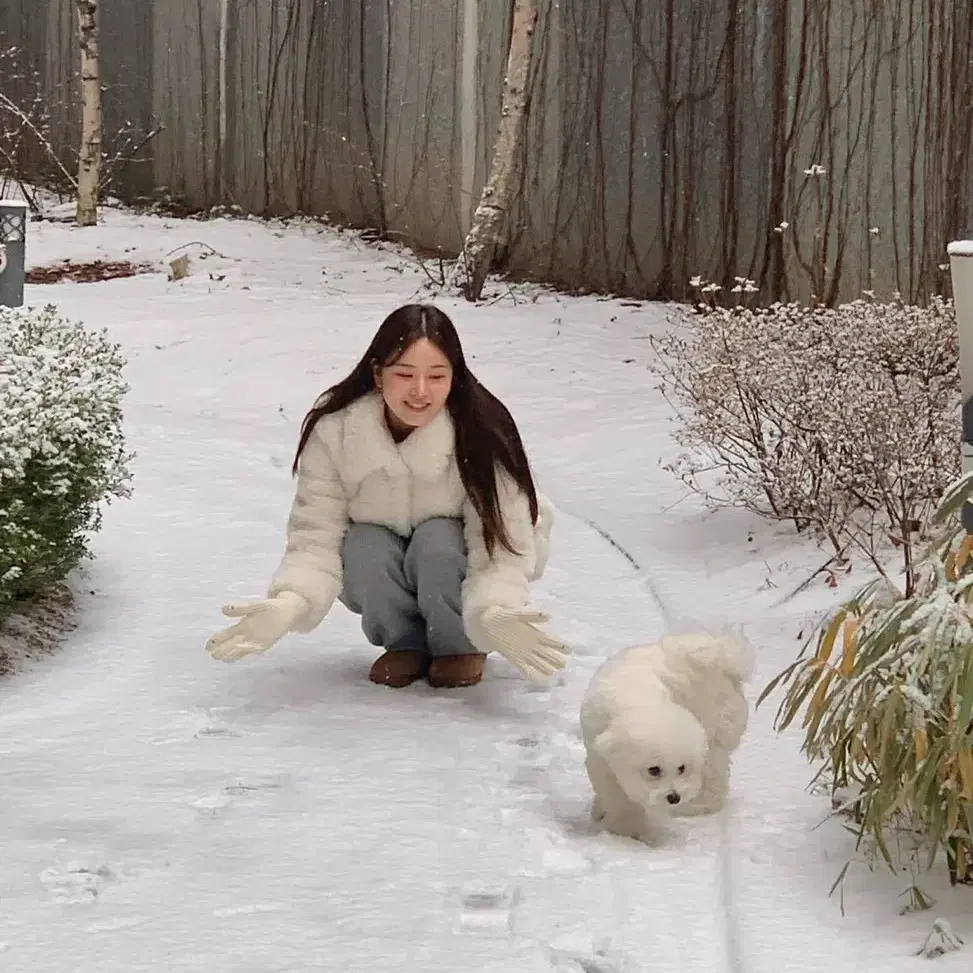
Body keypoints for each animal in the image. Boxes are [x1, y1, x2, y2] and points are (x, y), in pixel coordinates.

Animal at [576, 632, 752, 844]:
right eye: (653, 770)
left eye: (681, 768)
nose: (674, 797)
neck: (640, 702)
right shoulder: (599, 757)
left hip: (715, 732)